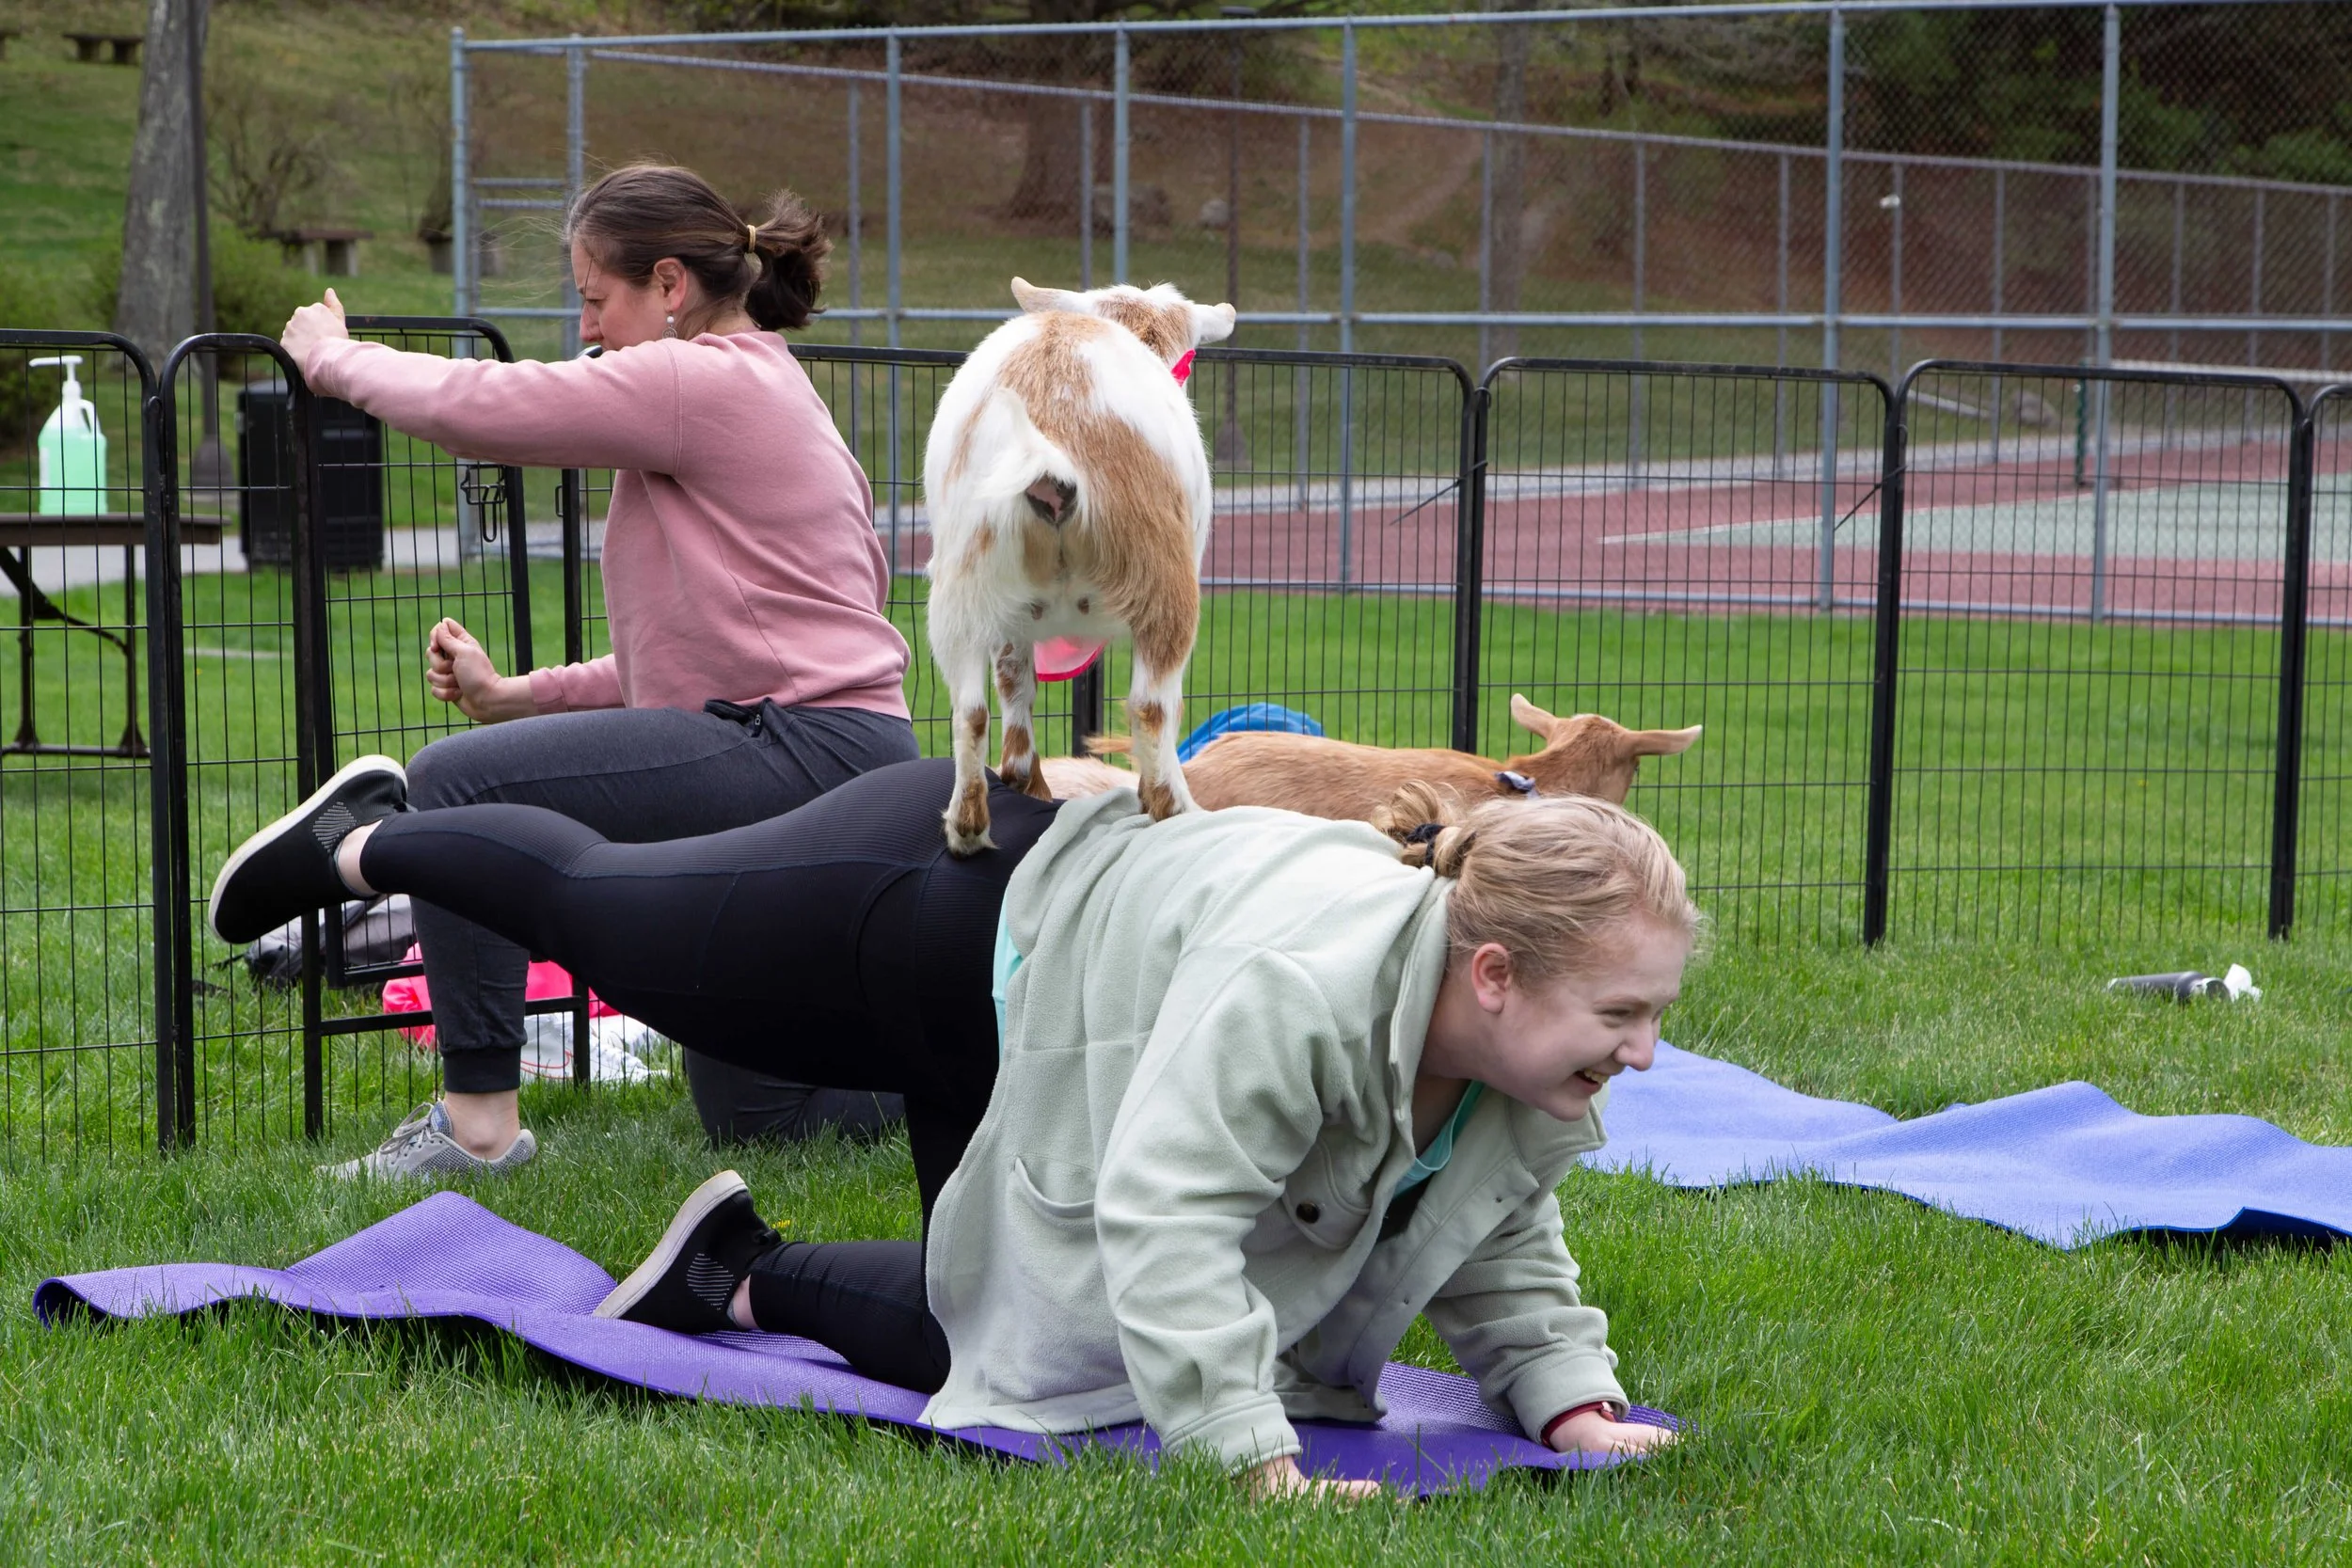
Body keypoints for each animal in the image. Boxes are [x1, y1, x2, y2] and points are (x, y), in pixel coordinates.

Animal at [923, 278, 1236, 854]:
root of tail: (1053, 452)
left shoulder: (1013, 624)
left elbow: (1015, 690)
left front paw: (1031, 786)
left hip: (965, 586)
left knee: (970, 710)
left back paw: (966, 828)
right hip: (1165, 580)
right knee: (1153, 705)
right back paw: (1176, 809)